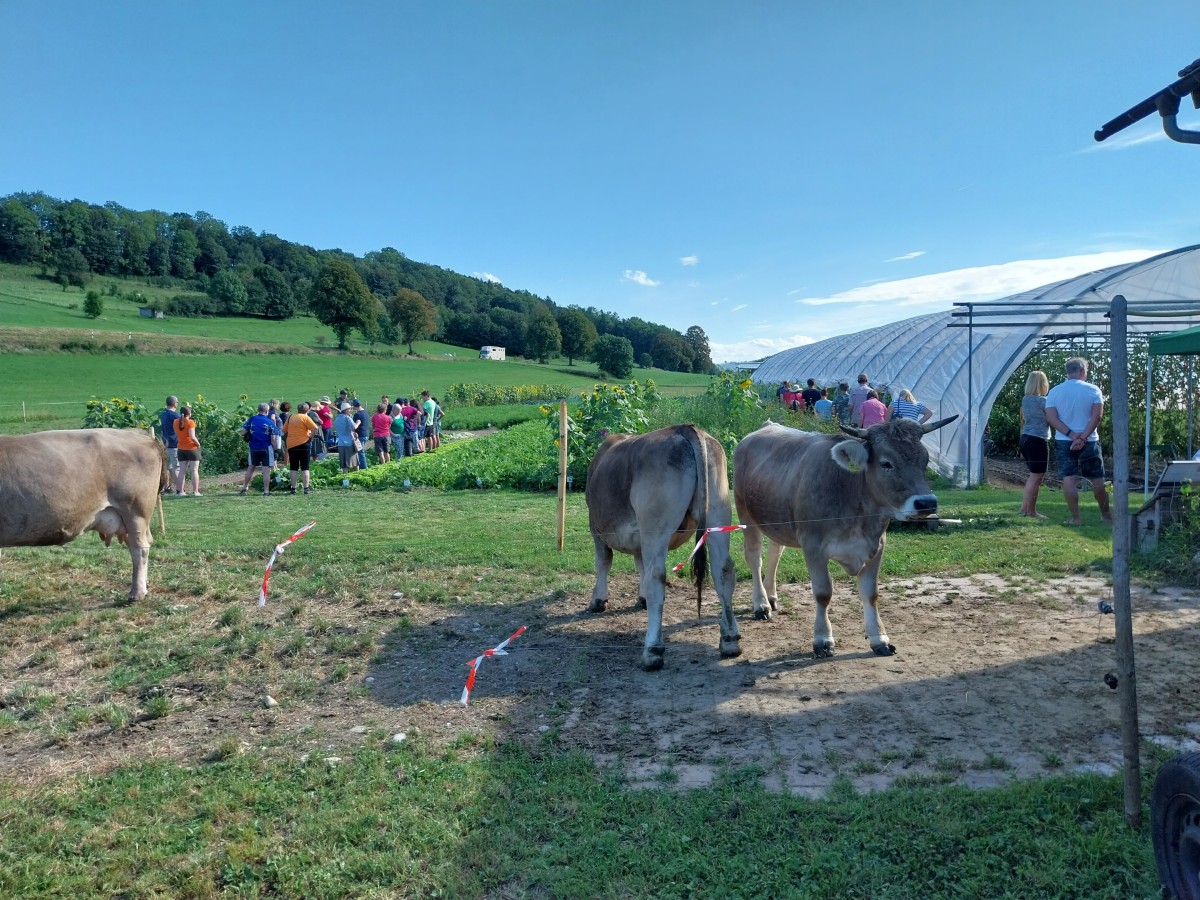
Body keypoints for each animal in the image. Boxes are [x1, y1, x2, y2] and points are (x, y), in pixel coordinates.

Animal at [583, 427, 739, 672]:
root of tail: (686, 428)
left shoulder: (596, 528)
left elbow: (603, 562)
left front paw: (598, 601)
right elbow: (640, 566)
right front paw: (641, 597)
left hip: (655, 525)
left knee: (657, 577)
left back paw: (652, 651)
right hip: (718, 514)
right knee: (723, 571)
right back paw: (730, 640)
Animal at [729, 420, 955, 657]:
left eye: (925, 460)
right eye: (886, 463)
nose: (926, 503)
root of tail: (766, 426)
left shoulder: (877, 545)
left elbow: (871, 593)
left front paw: (879, 638)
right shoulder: (813, 546)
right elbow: (823, 593)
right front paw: (823, 640)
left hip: (777, 519)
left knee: (775, 552)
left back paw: (771, 596)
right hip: (745, 512)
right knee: (755, 557)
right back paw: (761, 604)